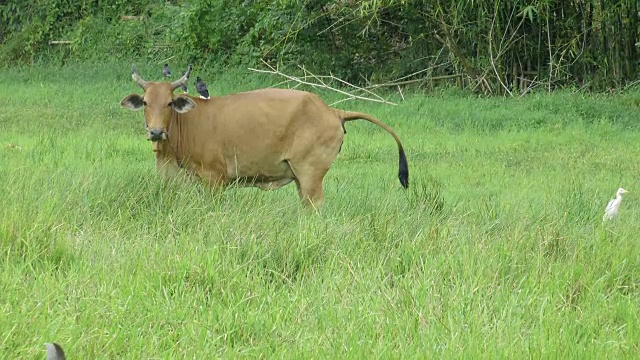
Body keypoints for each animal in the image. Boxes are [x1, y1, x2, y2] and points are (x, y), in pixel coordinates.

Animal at [120, 63, 410, 207]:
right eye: (145, 102)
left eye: (170, 103)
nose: (156, 132)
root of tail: (331, 110)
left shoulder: (215, 180)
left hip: (310, 175)